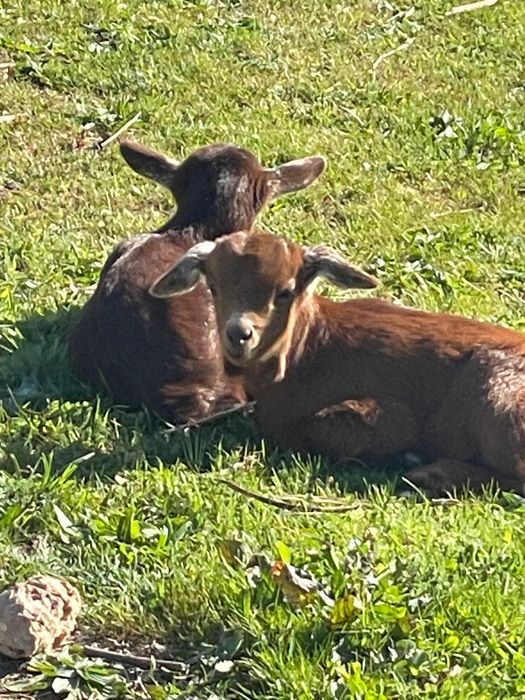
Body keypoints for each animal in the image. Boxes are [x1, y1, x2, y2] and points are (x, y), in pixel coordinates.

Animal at [150, 230, 525, 494]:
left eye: (284, 291)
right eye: (214, 287)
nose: (239, 334)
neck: (307, 354)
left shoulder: (386, 415)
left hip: (497, 395)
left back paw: (434, 475)